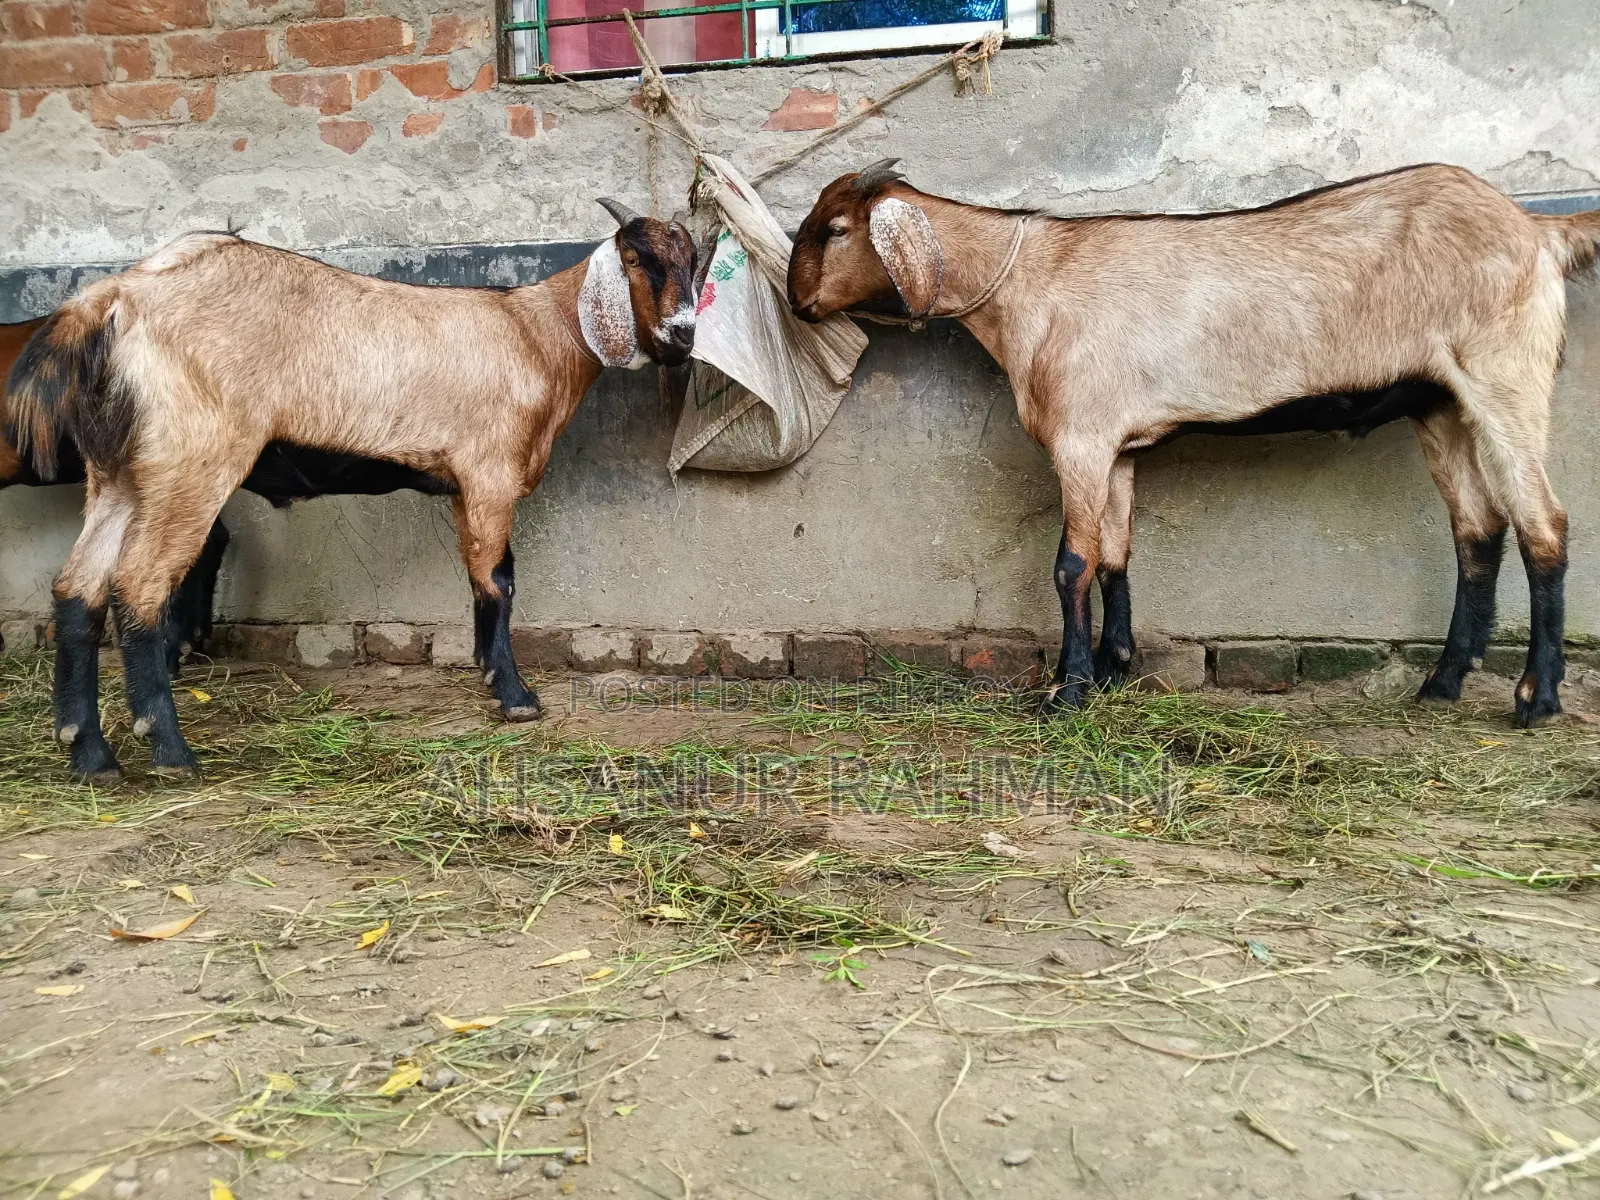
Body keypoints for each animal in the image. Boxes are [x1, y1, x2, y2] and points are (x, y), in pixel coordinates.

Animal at [7, 200, 697, 781]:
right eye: (635, 260)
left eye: (695, 263)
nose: (684, 335)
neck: (537, 333)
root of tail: (114, 297)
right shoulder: (489, 473)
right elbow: (498, 581)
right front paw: (515, 696)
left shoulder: (463, 485)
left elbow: (479, 578)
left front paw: (486, 672)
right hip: (189, 460)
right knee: (140, 585)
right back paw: (172, 753)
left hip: (119, 472)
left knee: (78, 589)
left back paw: (90, 756)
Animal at [789, 161, 1599, 727]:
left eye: (836, 228)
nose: (797, 304)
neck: (1028, 284)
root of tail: (1539, 230)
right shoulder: (1116, 446)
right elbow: (1115, 555)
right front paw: (1115, 667)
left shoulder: (1081, 438)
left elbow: (1072, 565)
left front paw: (1067, 692)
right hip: (1439, 401)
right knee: (1478, 531)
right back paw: (1442, 682)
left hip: (1505, 373)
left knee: (1543, 526)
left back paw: (1536, 697)